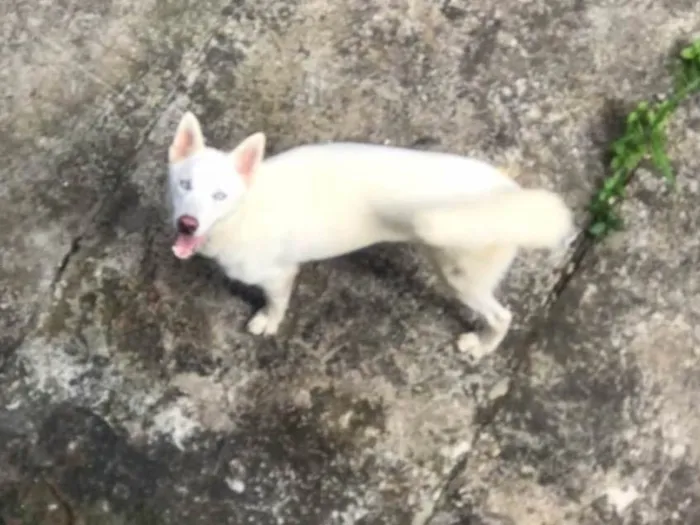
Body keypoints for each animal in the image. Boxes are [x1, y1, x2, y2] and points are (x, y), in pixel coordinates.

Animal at [167, 110, 572, 356]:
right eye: (185, 185)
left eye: (220, 195)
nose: (187, 224)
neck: (245, 208)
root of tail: (511, 195)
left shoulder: (279, 275)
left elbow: (276, 303)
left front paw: (268, 322)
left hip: (461, 278)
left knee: (503, 317)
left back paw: (483, 346)